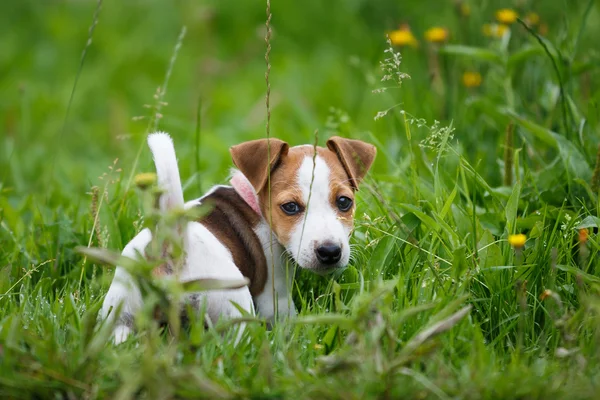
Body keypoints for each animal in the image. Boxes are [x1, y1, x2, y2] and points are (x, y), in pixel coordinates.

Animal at [102, 132, 376, 344]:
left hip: (121, 317)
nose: (330, 252)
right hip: (233, 307)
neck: (253, 201)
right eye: (290, 207)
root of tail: (175, 244)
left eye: (344, 202)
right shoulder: (274, 293)